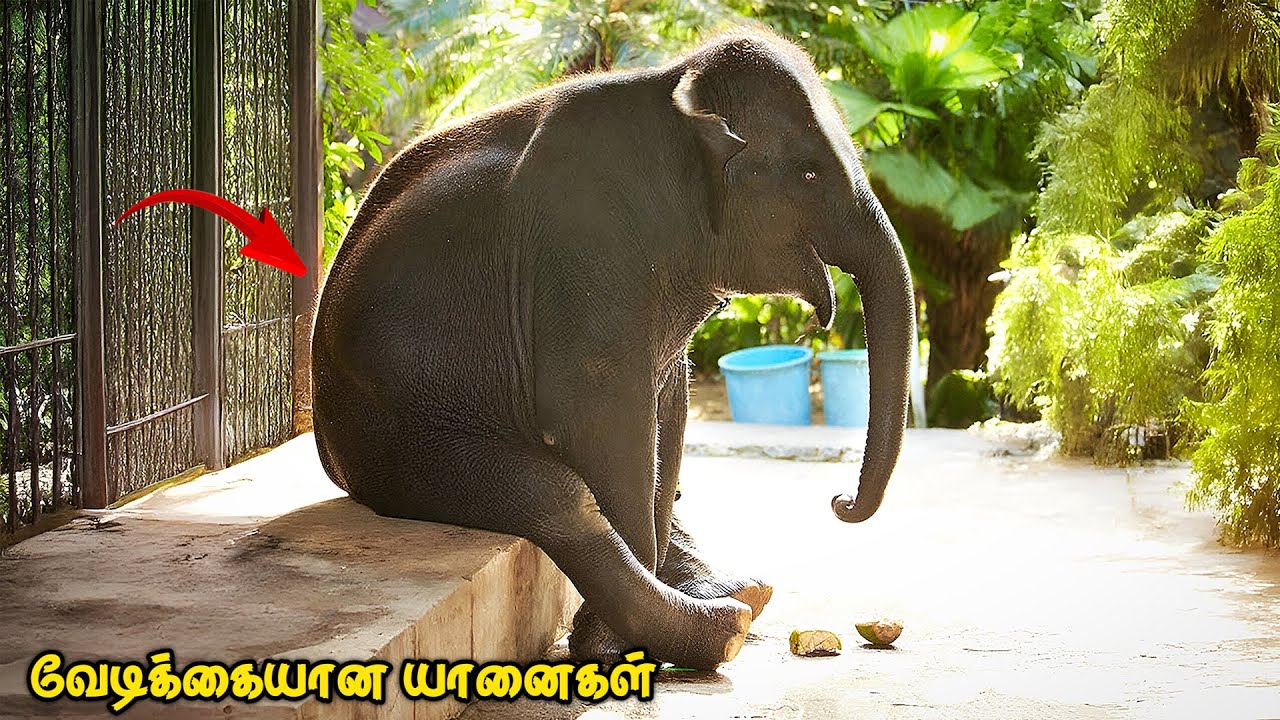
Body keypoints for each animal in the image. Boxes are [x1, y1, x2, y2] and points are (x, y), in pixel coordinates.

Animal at [311, 27, 915, 670]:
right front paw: (615, 650)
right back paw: (720, 628)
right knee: (556, 498)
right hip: (389, 435)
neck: (674, 86)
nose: (839, 502)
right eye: (809, 175)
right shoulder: (585, 242)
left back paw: (742, 595)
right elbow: (604, 422)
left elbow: (668, 414)